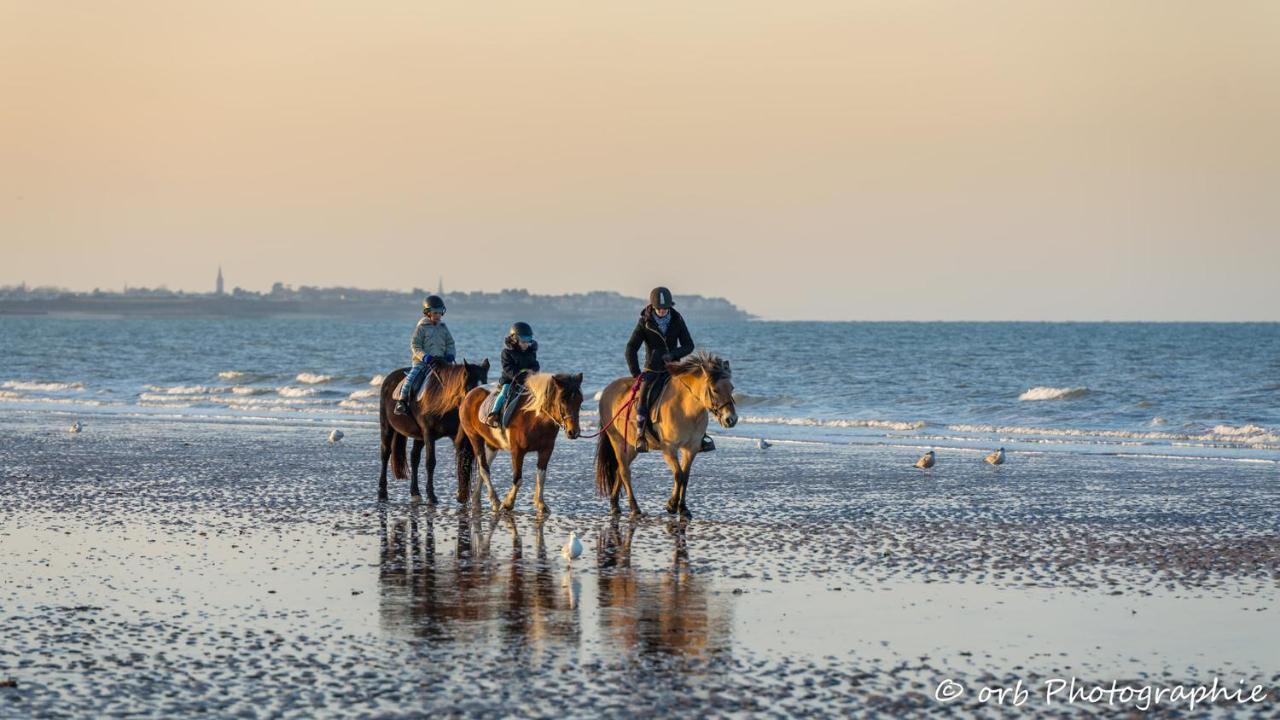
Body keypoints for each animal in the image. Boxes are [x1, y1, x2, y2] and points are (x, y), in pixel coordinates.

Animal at [373, 356, 488, 499]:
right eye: (471, 386)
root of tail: (389, 379)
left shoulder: (454, 435)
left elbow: (463, 460)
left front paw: (462, 494)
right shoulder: (429, 433)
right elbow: (430, 462)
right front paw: (431, 495)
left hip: (419, 436)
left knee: (414, 457)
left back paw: (415, 491)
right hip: (387, 427)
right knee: (385, 453)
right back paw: (382, 491)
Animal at [455, 368, 586, 515]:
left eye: (580, 400)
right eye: (562, 400)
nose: (573, 432)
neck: (533, 418)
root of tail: (470, 394)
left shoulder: (546, 450)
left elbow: (541, 476)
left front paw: (541, 504)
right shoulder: (517, 451)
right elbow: (518, 479)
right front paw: (508, 503)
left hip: (492, 444)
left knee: (484, 468)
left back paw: (477, 498)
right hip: (474, 437)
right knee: (484, 469)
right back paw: (495, 501)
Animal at [591, 348, 737, 512]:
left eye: (732, 388)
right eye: (714, 390)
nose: (731, 419)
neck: (686, 410)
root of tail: (607, 390)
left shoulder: (691, 448)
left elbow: (685, 476)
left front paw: (682, 507)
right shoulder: (669, 448)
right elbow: (678, 474)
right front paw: (672, 504)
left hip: (631, 446)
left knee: (619, 471)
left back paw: (615, 504)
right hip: (616, 440)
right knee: (624, 472)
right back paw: (634, 507)